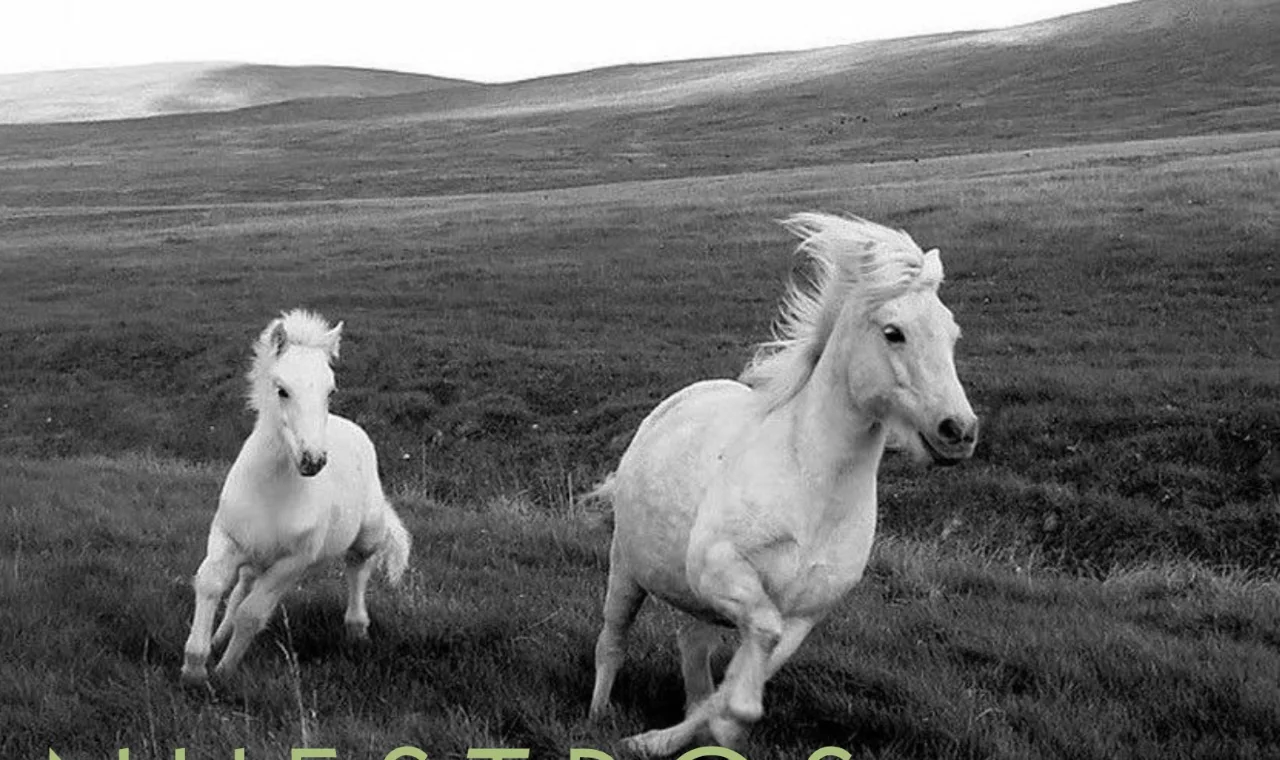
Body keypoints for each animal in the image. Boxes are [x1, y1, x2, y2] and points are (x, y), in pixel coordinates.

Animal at [181, 309, 412, 685]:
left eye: (330, 390)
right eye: (282, 390)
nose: (313, 460)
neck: (272, 491)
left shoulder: (293, 562)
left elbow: (252, 614)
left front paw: (225, 671)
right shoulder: (227, 538)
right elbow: (211, 585)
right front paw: (195, 666)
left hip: (367, 535)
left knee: (358, 568)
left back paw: (357, 630)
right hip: (255, 556)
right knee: (242, 585)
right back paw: (218, 637)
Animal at [587, 213, 979, 754]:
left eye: (952, 334)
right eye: (893, 332)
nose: (959, 431)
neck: (810, 489)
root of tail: (676, 402)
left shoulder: (803, 616)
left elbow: (741, 678)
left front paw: (696, 734)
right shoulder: (722, 571)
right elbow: (752, 656)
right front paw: (653, 740)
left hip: (699, 605)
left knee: (692, 650)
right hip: (626, 568)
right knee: (612, 640)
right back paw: (598, 718)